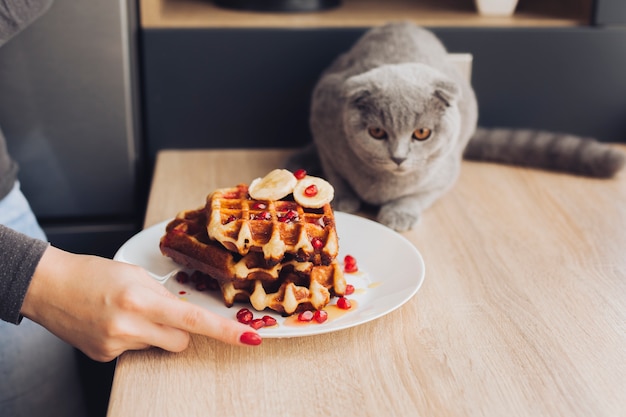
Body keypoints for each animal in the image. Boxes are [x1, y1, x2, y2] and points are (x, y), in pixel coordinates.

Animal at [284, 21, 624, 232]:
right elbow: (336, 171)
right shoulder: (323, 118)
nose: (399, 157)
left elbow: (420, 194)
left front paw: (399, 212)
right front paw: (342, 198)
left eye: (421, 134)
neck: (384, 185)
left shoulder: (444, 173)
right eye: (377, 132)